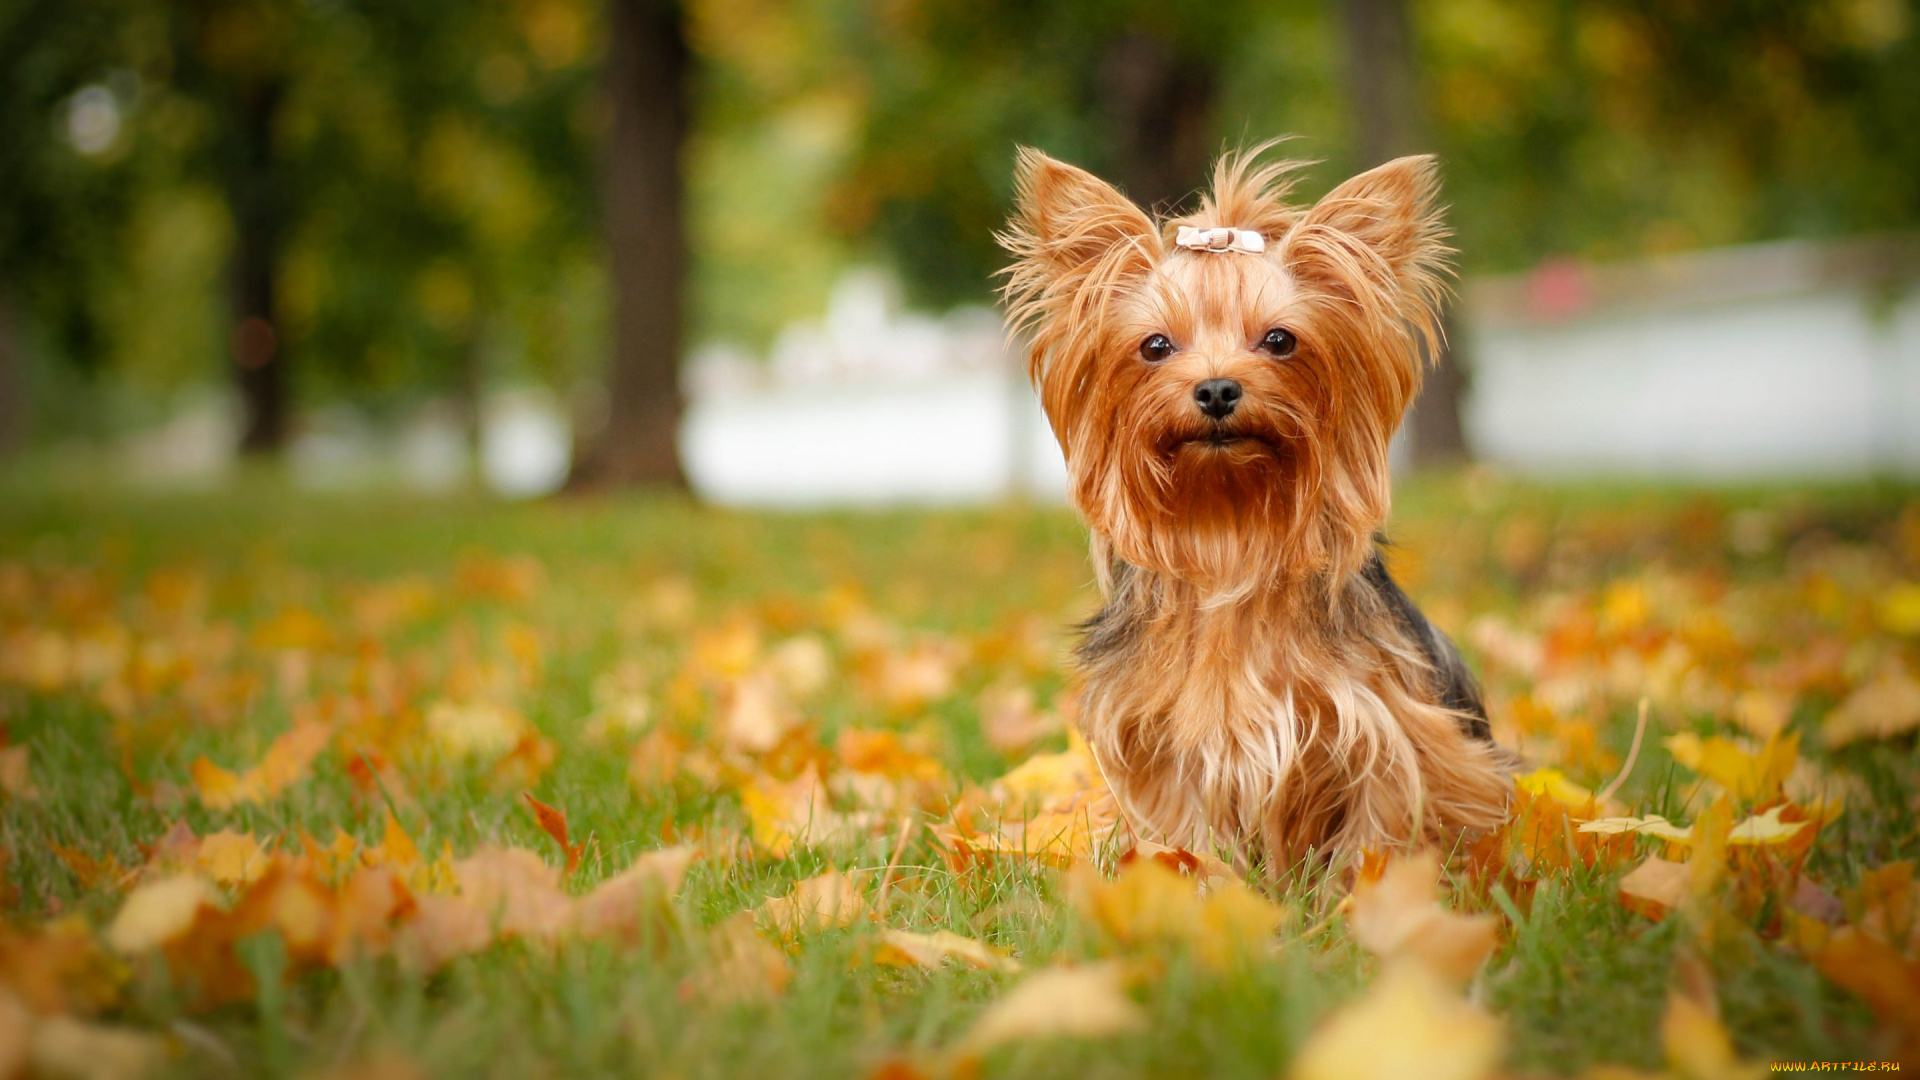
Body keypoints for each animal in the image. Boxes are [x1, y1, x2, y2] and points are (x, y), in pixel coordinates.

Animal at [998, 145, 1505, 864]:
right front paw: (1194, 876)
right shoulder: (1158, 743)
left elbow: (1382, 823)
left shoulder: (1390, 729)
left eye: (1280, 341)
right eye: (1156, 346)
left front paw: (1368, 892)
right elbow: (1181, 830)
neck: (1229, 531)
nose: (1216, 389)